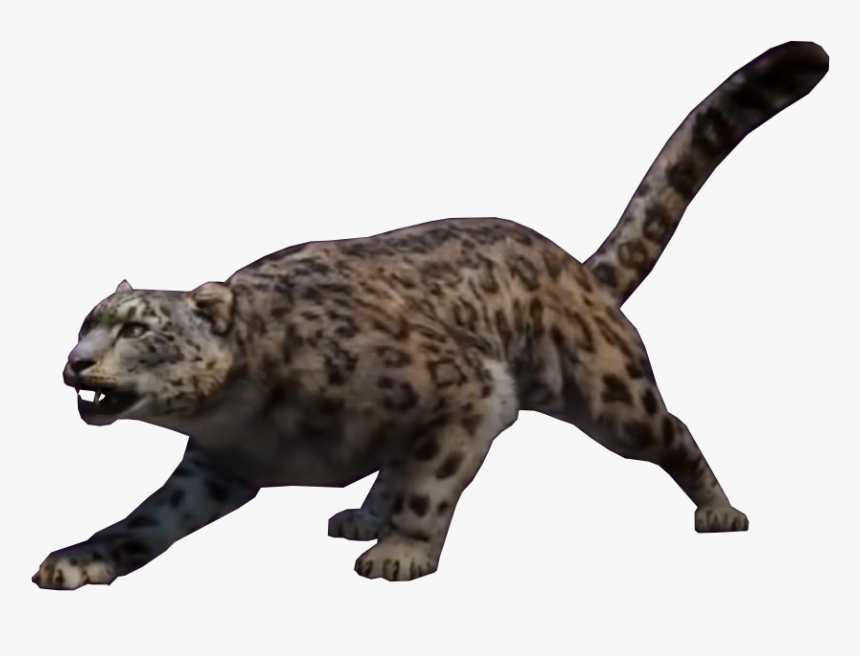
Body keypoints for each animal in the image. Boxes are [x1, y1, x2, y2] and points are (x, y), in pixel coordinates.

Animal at [33, 41, 828, 589]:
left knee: (675, 431)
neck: (250, 416)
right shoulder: (213, 467)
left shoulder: (470, 388)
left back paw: (719, 510)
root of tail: (571, 267)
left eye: (137, 327)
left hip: (612, 396)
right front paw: (78, 558)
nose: (75, 363)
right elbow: (145, 519)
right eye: (85, 322)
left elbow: (433, 479)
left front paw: (401, 552)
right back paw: (361, 513)